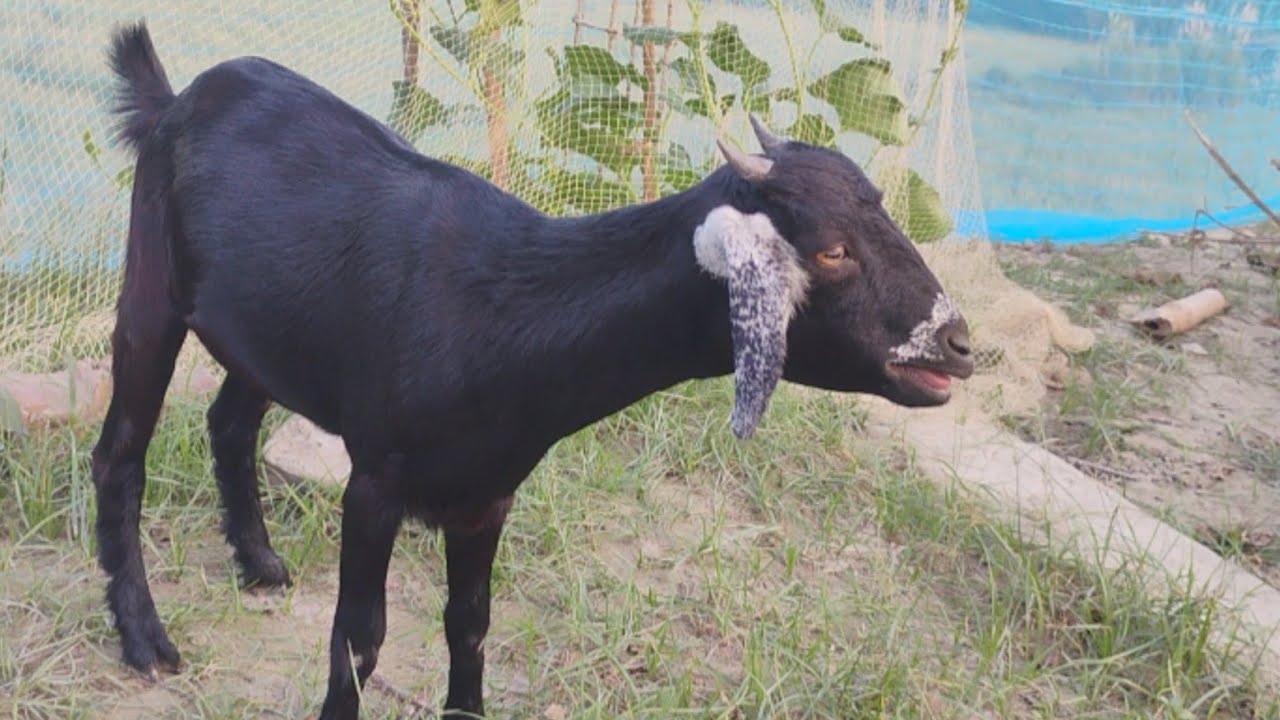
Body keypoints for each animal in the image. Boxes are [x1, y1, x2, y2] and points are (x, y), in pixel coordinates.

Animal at [92, 21, 974, 719]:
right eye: (831, 250)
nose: (959, 343)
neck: (504, 319)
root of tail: (180, 99)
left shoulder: (488, 495)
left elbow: (471, 624)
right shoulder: (375, 483)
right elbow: (360, 638)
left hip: (267, 329)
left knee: (229, 421)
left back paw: (260, 562)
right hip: (151, 284)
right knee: (121, 451)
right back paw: (145, 639)